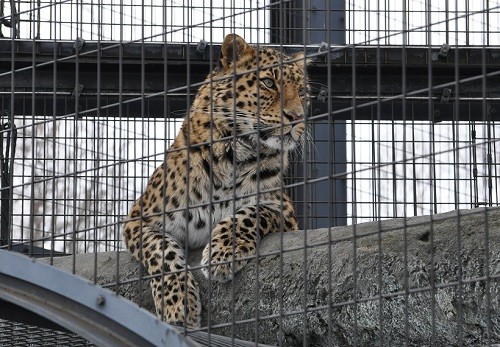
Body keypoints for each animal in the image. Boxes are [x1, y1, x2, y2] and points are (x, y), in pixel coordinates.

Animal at [122, 33, 308, 328]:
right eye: (269, 83)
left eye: (302, 92)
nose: (297, 117)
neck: (233, 157)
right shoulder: (138, 219)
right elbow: (162, 253)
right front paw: (178, 303)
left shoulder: (286, 213)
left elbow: (250, 213)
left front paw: (223, 253)